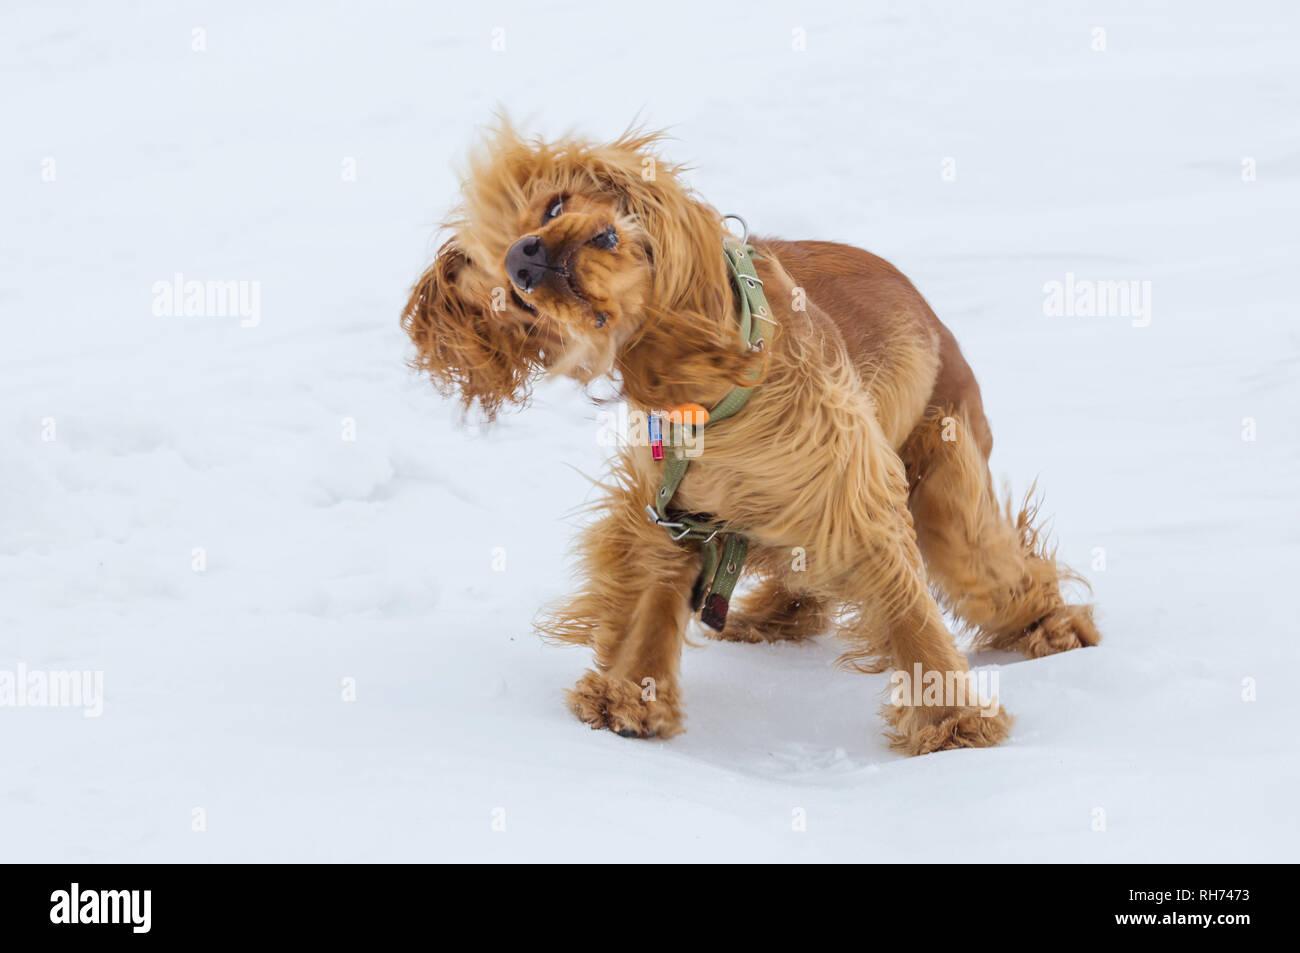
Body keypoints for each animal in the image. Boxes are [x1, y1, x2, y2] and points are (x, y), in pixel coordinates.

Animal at [403, 124, 1097, 748]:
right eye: (514, 299)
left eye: (553, 206)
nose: (525, 256)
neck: (703, 373)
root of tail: (935, 320)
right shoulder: (673, 509)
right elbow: (653, 600)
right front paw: (632, 698)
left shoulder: (851, 489)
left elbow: (909, 614)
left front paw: (953, 723)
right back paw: (770, 618)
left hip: (946, 485)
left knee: (997, 569)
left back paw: (1054, 628)